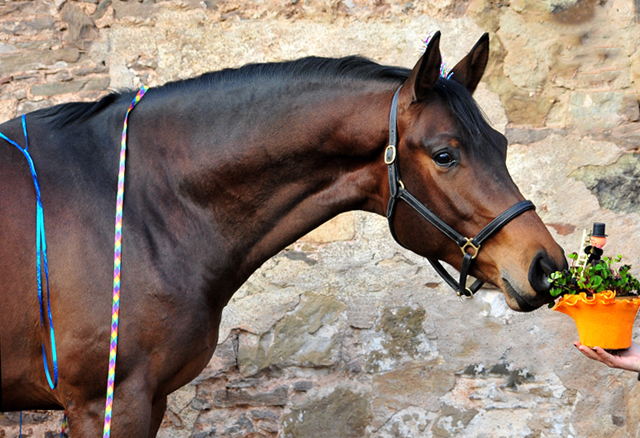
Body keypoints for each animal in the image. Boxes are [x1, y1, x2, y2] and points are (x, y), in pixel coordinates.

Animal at [1, 32, 564, 436]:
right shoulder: (108, 402)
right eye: (445, 154)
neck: (136, 201)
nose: (546, 267)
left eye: (502, 143)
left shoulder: (147, 400)